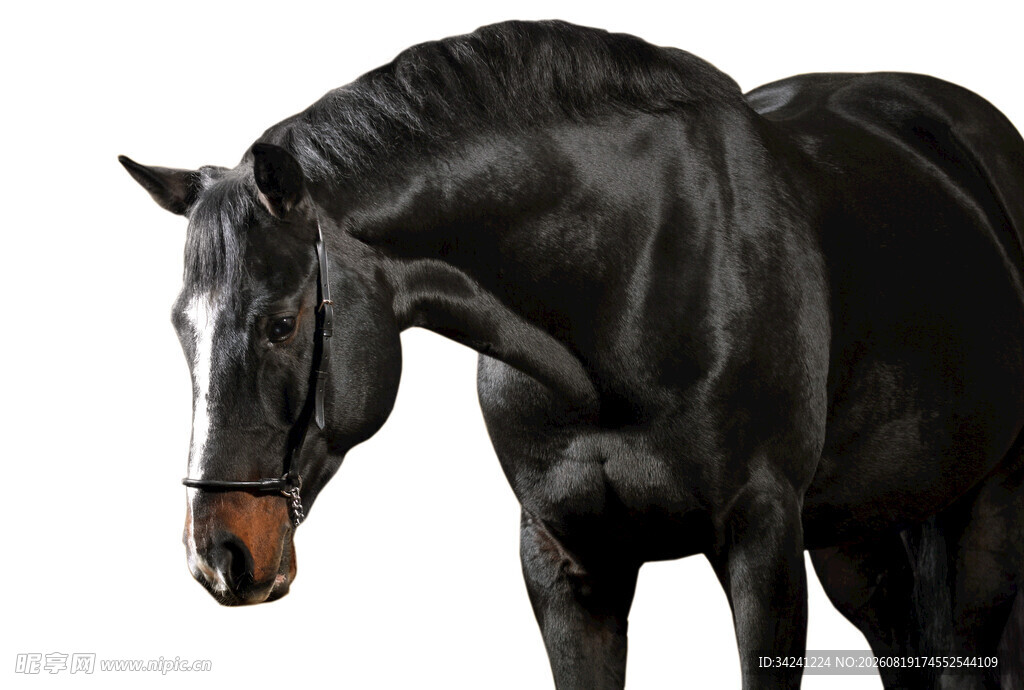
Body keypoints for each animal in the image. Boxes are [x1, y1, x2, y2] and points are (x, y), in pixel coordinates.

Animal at [120, 20, 1024, 689]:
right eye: (181, 327)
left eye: (280, 323)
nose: (220, 555)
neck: (623, 285)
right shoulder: (566, 565)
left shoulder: (763, 545)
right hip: (860, 535)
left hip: (983, 516)